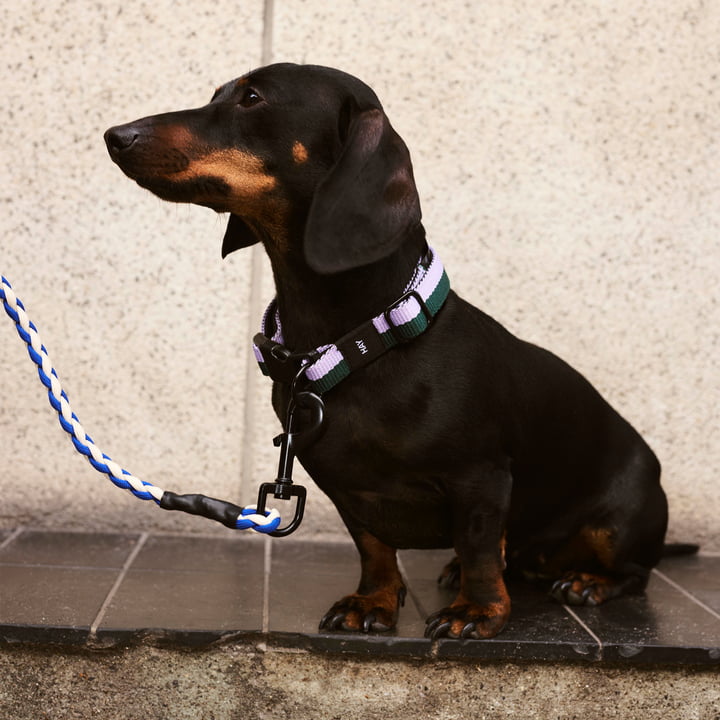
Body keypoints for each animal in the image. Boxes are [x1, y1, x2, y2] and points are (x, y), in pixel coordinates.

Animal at [105, 60, 668, 636]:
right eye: (217, 92)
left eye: (253, 98)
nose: (116, 136)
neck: (363, 340)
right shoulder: (345, 488)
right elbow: (373, 547)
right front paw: (371, 601)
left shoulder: (482, 478)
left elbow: (480, 548)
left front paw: (476, 611)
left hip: (620, 524)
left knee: (633, 572)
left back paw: (586, 581)